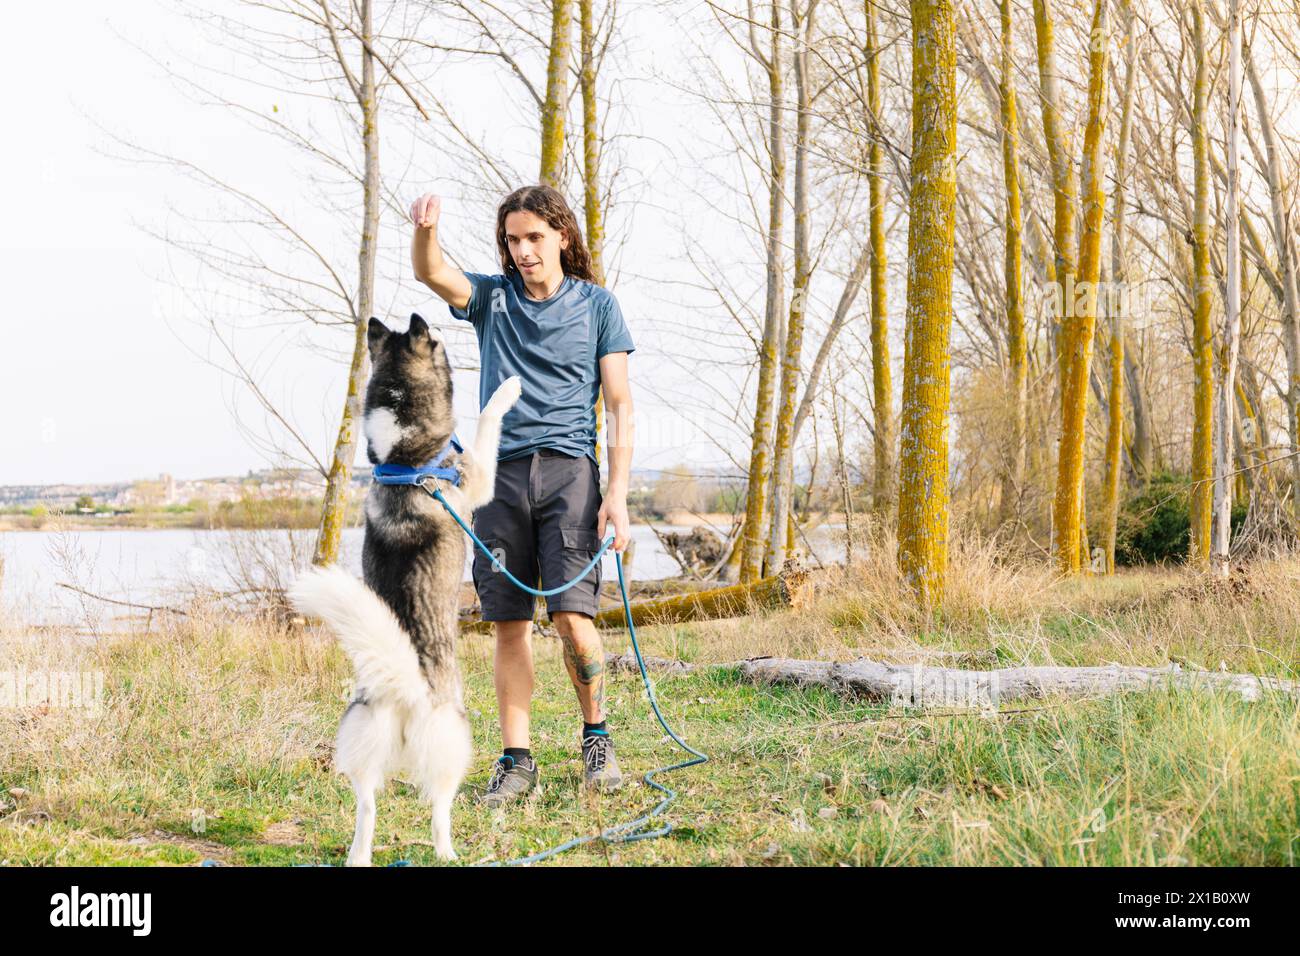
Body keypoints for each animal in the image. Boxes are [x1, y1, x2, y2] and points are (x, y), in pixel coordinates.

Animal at [291, 314, 522, 868]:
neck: (404, 457)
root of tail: (401, 685)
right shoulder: (478, 479)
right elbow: (486, 420)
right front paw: (507, 389)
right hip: (455, 744)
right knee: (438, 807)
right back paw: (447, 851)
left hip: (358, 748)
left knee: (367, 808)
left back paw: (358, 855)